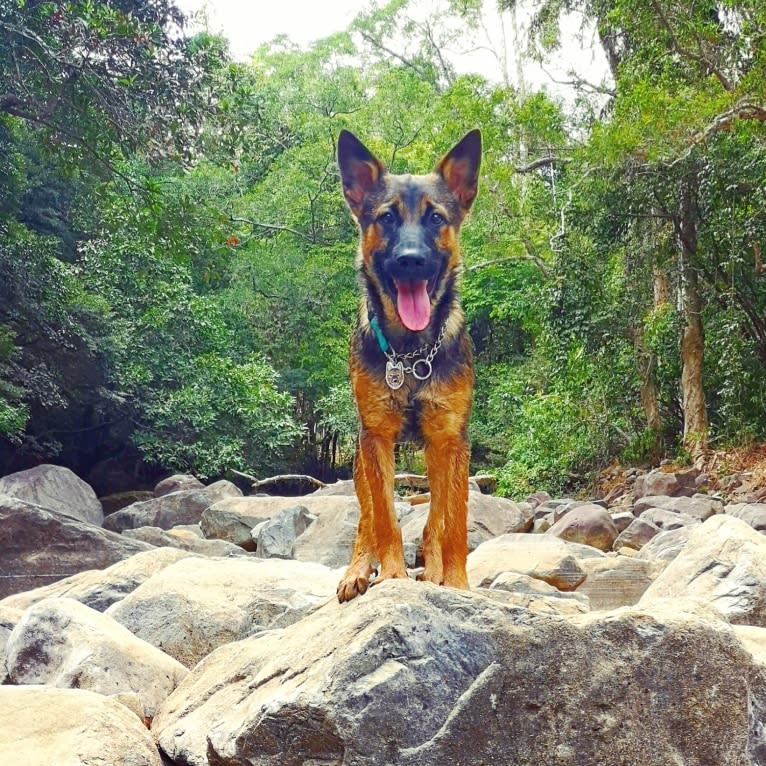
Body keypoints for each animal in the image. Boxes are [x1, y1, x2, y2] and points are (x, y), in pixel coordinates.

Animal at [340, 129, 484, 604]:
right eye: (386, 218)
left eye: (436, 217)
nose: (410, 259)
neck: (411, 355)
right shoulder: (376, 437)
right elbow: (384, 519)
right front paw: (391, 576)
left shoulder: (451, 441)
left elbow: (450, 523)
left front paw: (454, 583)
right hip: (359, 461)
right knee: (365, 519)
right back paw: (356, 570)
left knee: (434, 519)